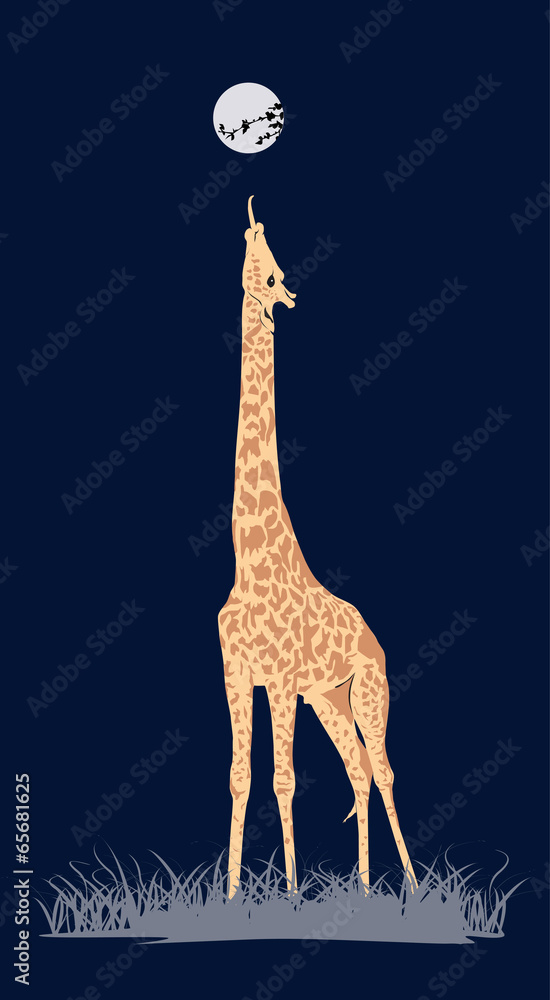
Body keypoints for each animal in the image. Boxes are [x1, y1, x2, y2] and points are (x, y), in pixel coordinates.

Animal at [218, 196, 418, 899]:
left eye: (276, 271)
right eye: (259, 264)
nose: (281, 294)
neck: (250, 556)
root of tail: (375, 638)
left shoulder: (277, 676)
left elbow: (283, 779)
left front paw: (292, 892)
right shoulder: (236, 671)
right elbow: (241, 777)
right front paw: (231, 896)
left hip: (367, 691)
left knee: (382, 769)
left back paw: (412, 887)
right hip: (329, 699)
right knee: (357, 769)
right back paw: (361, 887)